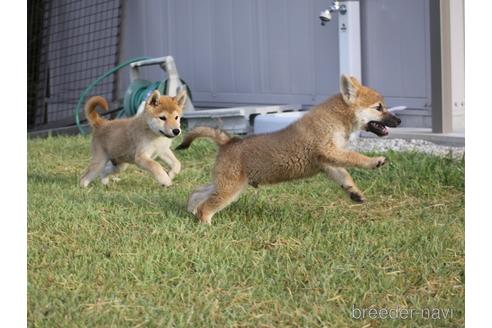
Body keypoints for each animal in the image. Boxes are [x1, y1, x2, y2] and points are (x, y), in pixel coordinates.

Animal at [177, 74, 400, 224]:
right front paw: (374, 161)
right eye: (379, 107)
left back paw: (191, 211)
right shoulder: (329, 152)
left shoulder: (328, 162)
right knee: (206, 207)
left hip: (225, 184)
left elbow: (345, 176)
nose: (399, 120)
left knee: (197, 193)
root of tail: (228, 142)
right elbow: (355, 157)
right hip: (229, 189)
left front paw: (354, 192)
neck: (335, 119)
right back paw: (205, 223)